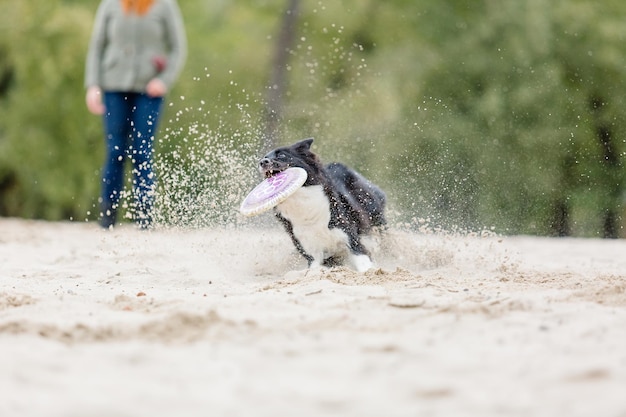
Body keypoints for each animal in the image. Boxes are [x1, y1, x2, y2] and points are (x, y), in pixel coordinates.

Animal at [258, 138, 386, 272]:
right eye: (264, 157)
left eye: (282, 155)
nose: (262, 162)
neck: (302, 204)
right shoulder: (311, 251)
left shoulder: (349, 236)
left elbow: (362, 259)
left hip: (375, 218)